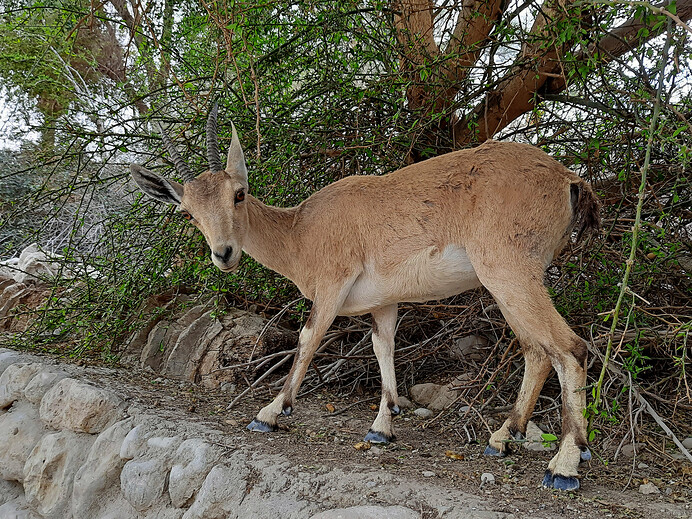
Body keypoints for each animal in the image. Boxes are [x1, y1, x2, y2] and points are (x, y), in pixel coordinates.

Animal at [130, 106, 600, 492]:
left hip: (509, 272)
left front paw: (269, 413)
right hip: (509, 282)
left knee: (570, 348)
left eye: (238, 194)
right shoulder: (383, 302)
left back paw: (564, 467)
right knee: (536, 350)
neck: (300, 233)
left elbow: (308, 339)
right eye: (188, 212)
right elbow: (382, 347)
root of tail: (568, 179)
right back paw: (501, 440)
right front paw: (381, 428)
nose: (223, 253)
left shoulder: (332, 285)